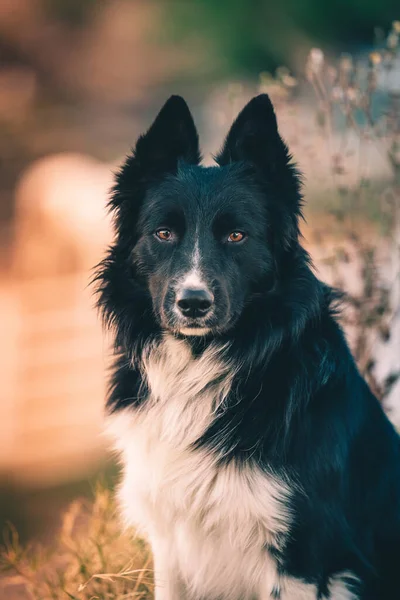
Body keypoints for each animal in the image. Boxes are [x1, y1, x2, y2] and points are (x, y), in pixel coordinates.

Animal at [94, 95, 400, 600]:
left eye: (236, 236)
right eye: (164, 233)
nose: (193, 303)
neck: (202, 367)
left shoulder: (299, 554)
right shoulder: (171, 540)